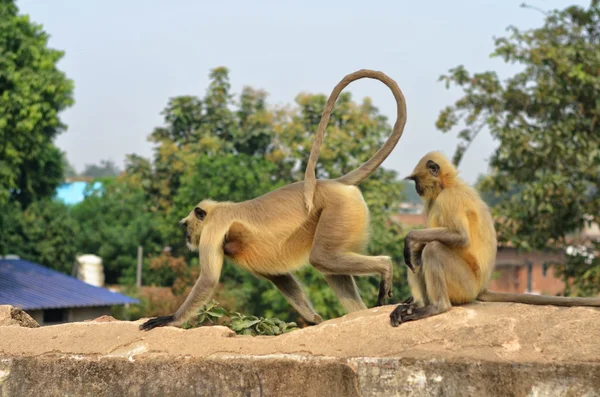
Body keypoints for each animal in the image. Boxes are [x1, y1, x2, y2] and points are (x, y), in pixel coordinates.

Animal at [141, 69, 408, 332]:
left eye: (186, 226)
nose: (186, 236)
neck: (217, 210)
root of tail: (332, 183)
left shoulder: (214, 228)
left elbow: (208, 280)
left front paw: (170, 318)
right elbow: (281, 277)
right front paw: (314, 319)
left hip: (340, 209)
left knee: (322, 258)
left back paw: (385, 266)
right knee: (329, 266)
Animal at [390, 150, 600, 326]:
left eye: (416, 180)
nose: (416, 188)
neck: (448, 184)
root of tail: (481, 287)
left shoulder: (450, 197)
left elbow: (460, 237)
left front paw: (410, 237)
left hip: (466, 286)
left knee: (431, 248)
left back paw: (437, 306)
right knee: (417, 254)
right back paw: (418, 304)